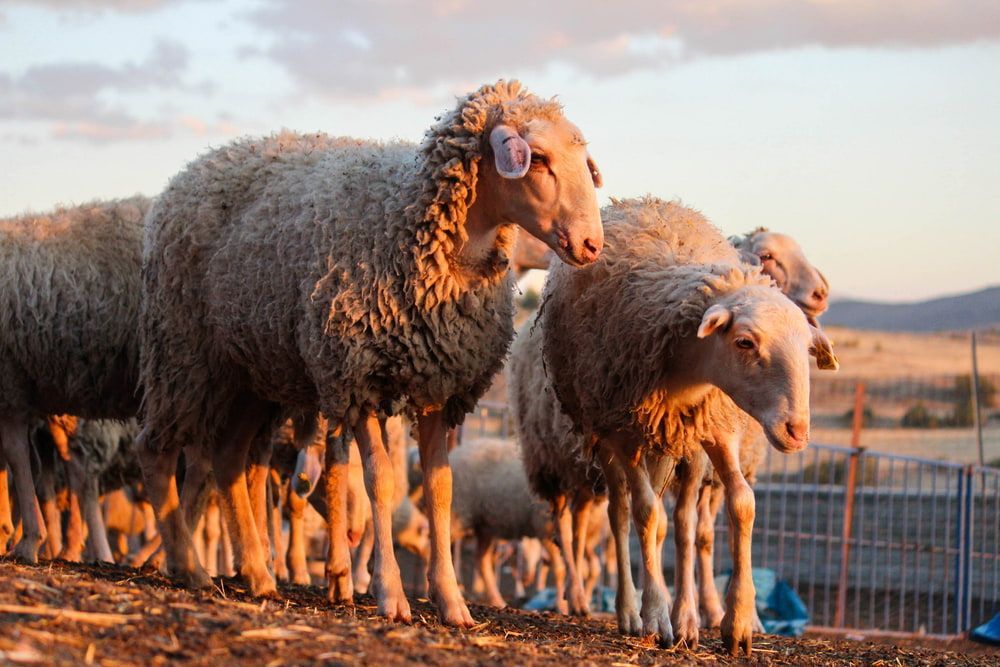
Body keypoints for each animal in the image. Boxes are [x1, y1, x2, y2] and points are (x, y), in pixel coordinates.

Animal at [137, 80, 604, 625]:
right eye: (540, 159)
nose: (592, 244)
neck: (412, 226)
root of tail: (193, 168)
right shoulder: (356, 375)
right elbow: (378, 479)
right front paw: (390, 595)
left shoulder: (438, 383)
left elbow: (440, 489)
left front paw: (451, 602)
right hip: (185, 353)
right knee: (155, 449)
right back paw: (189, 568)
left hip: (250, 373)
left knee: (228, 459)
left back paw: (257, 574)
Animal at [538, 197, 836, 653]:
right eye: (745, 341)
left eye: (805, 348)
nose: (797, 432)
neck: (690, 371)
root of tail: (637, 201)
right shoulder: (625, 430)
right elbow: (648, 515)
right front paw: (658, 616)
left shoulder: (717, 427)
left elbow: (740, 505)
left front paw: (737, 621)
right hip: (604, 429)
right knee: (621, 513)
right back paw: (630, 611)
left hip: (671, 442)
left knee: (672, 519)